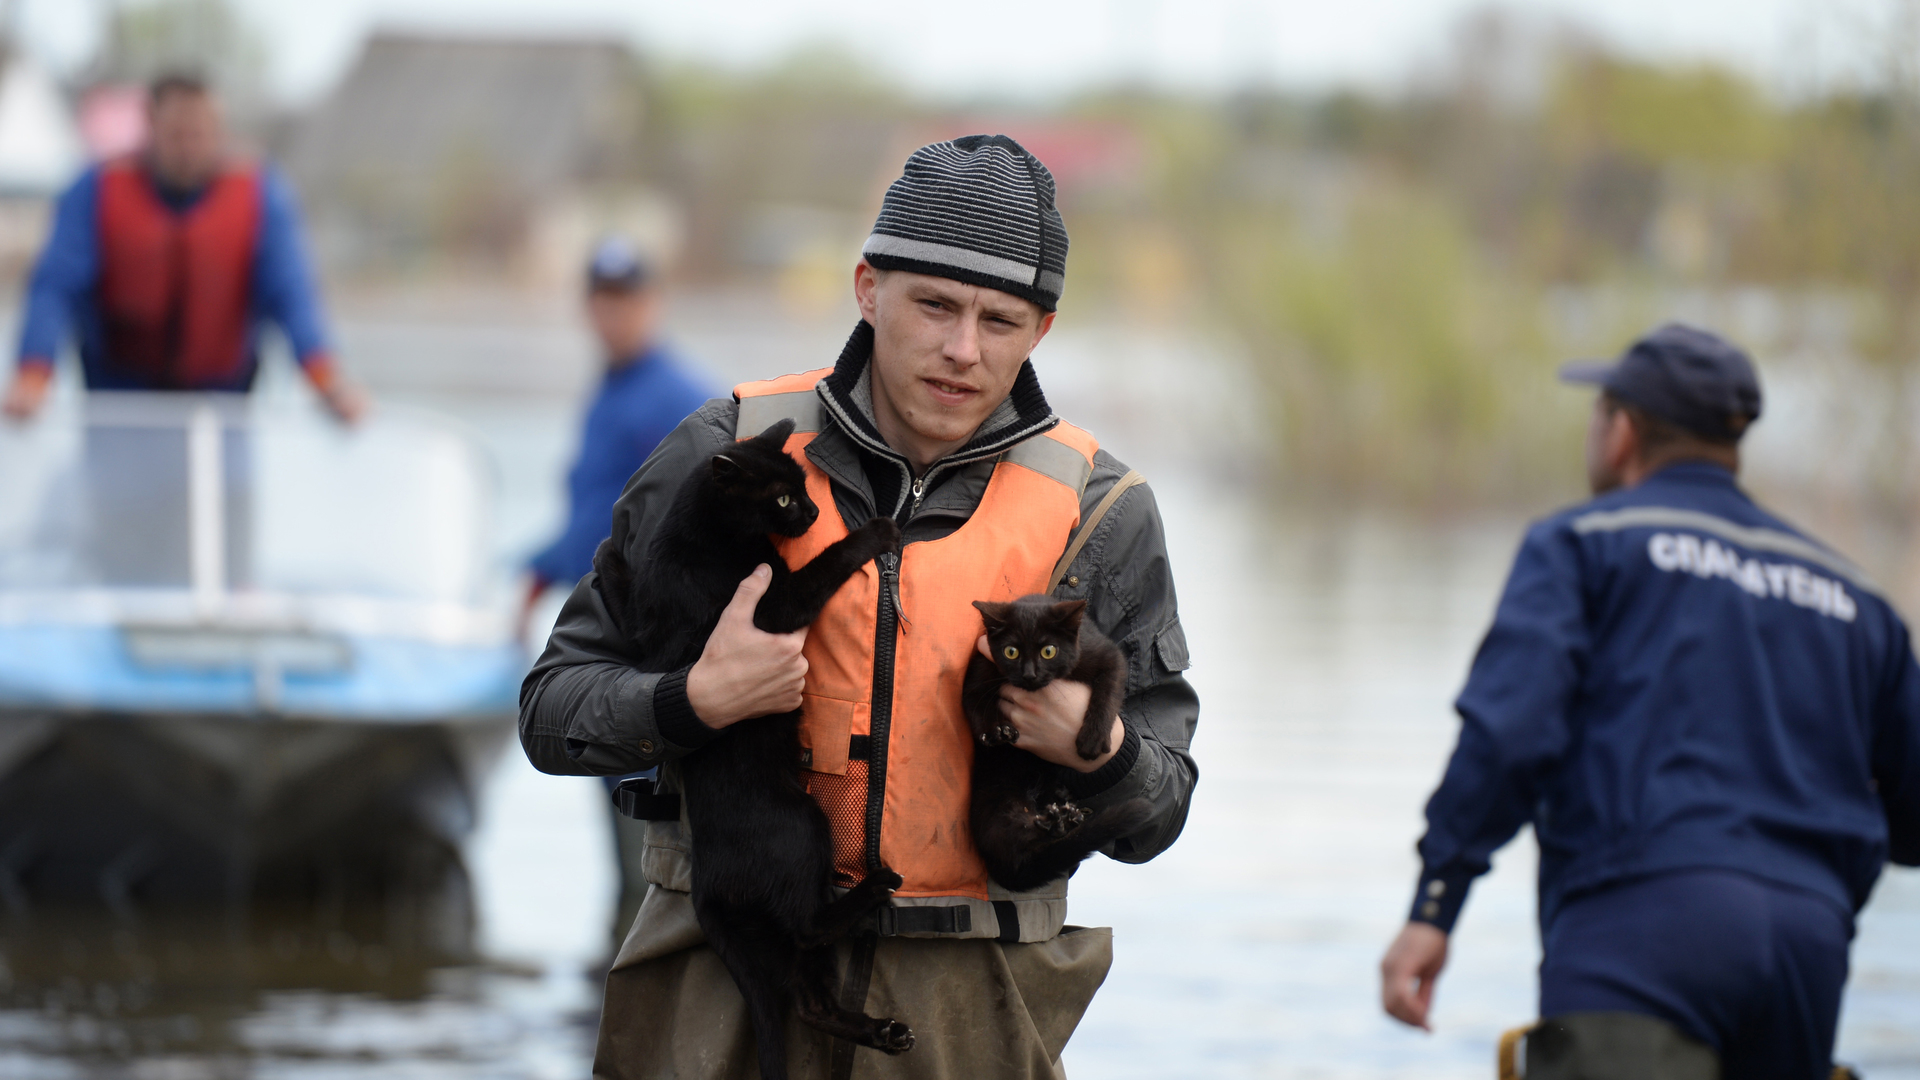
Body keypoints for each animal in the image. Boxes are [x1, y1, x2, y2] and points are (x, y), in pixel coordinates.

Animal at [595, 418, 917, 1068]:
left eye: (803, 488)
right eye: (784, 499)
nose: (814, 510)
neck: (704, 540)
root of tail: (709, 889)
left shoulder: (650, 618)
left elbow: (625, 595)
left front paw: (608, 557)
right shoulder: (767, 613)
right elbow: (819, 569)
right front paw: (873, 534)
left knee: (809, 999)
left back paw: (883, 1032)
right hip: (803, 828)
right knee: (809, 924)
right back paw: (875, 888)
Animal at [960, 591, 1152, 887]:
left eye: (1048, 651)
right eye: (1011, 652)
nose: (1029, 674)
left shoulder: (1106, 655)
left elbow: (1107, 692)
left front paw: (1092, 738)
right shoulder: (981, 669)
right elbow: (975, 704)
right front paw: (997, 732)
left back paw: (1065, 817)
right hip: (998, 801)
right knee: (1017, 839)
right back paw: (1055, 821)